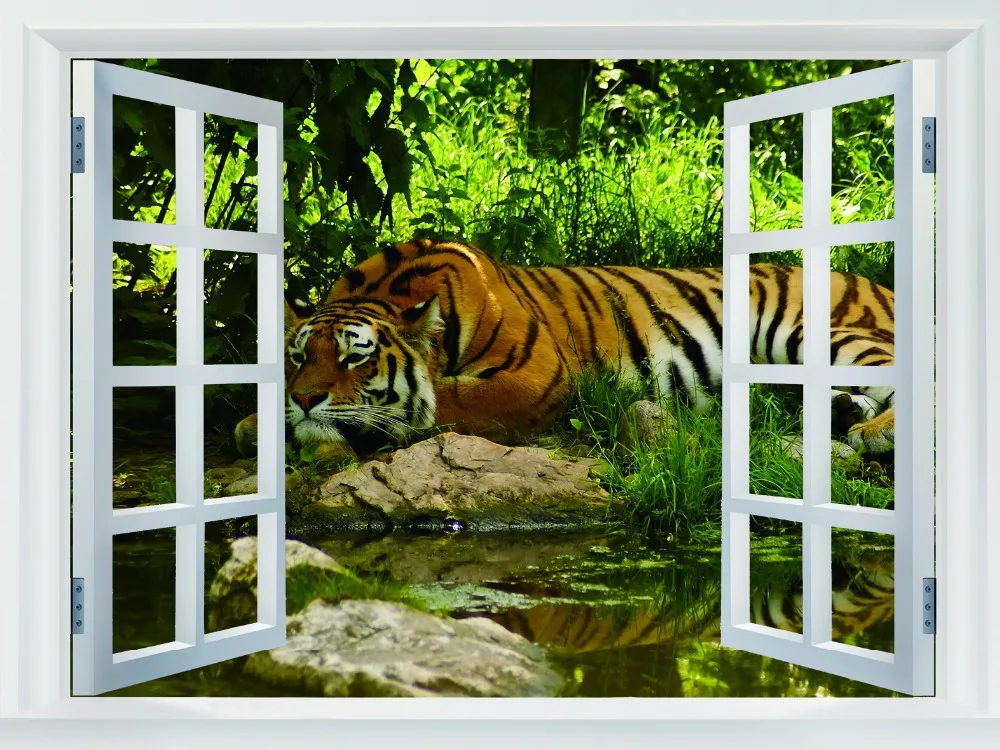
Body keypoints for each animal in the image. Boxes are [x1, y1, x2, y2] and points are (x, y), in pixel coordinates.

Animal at [233, 238, 896, 458]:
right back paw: (840, 414)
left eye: (356, 356)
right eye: (298, 356)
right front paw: (254, 423)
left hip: (820, 331)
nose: (306, 400)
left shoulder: (536, 375)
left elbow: (448, 400)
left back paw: (872, 433)